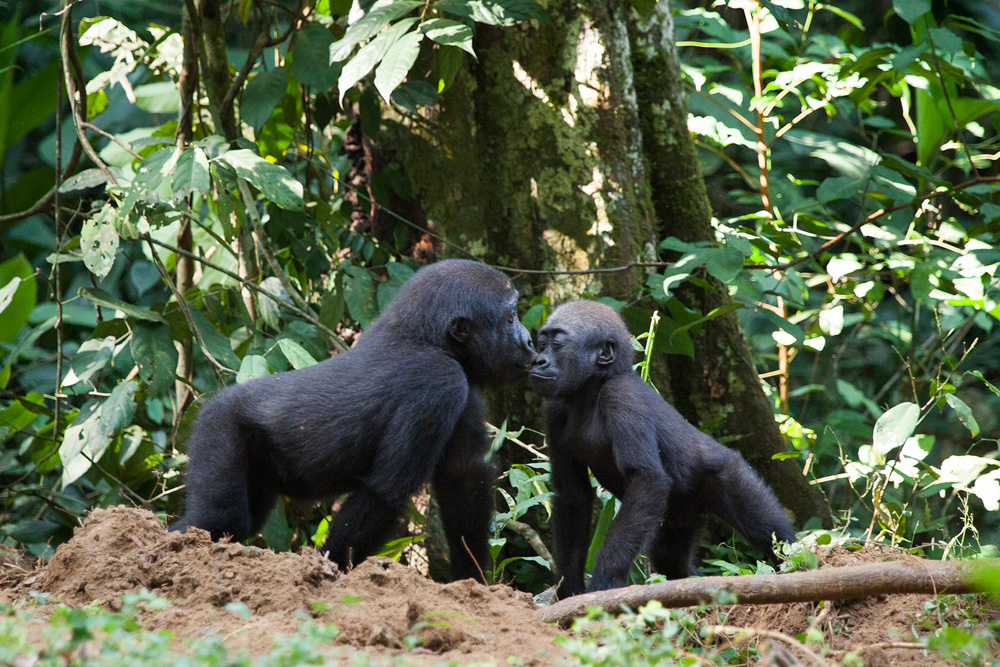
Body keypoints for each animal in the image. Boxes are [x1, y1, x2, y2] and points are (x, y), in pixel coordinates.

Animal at [170, 258, 540, 580]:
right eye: (510, 318)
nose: (529, 341)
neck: (426, 337)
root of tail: (209, 405)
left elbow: (463, 478)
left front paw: (471, 581)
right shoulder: (439, 382)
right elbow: (384, 493)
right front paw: (330, 572)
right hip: (217, 427)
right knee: (218, 519)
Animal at [532, 300, 796, 596]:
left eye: (557, 345)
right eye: (541, 345)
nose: (538, 360)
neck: (594, 387)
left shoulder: (622, 397)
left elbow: (646, 479)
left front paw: (605, 580)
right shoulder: (554, 411)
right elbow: (572, 497)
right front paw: (569, 587)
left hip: (731, 475)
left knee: (770, 532)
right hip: (684, 510)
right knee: (669, 556)